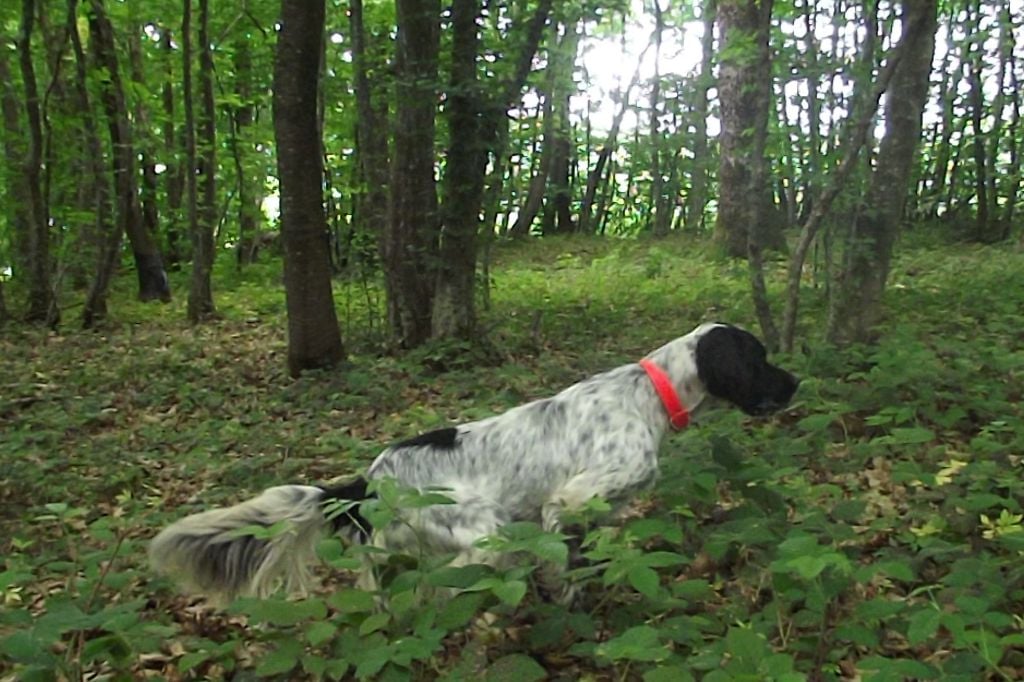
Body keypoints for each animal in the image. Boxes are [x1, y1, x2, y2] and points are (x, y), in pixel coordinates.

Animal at [149, 321, 798, 602]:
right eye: (761, 356)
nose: (797, 383)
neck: (649, 394)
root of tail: (367, 481)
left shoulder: (603, 512)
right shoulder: (563, 505)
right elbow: (565, 572)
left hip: (402, 551)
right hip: (482, 529)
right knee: (450, 581)